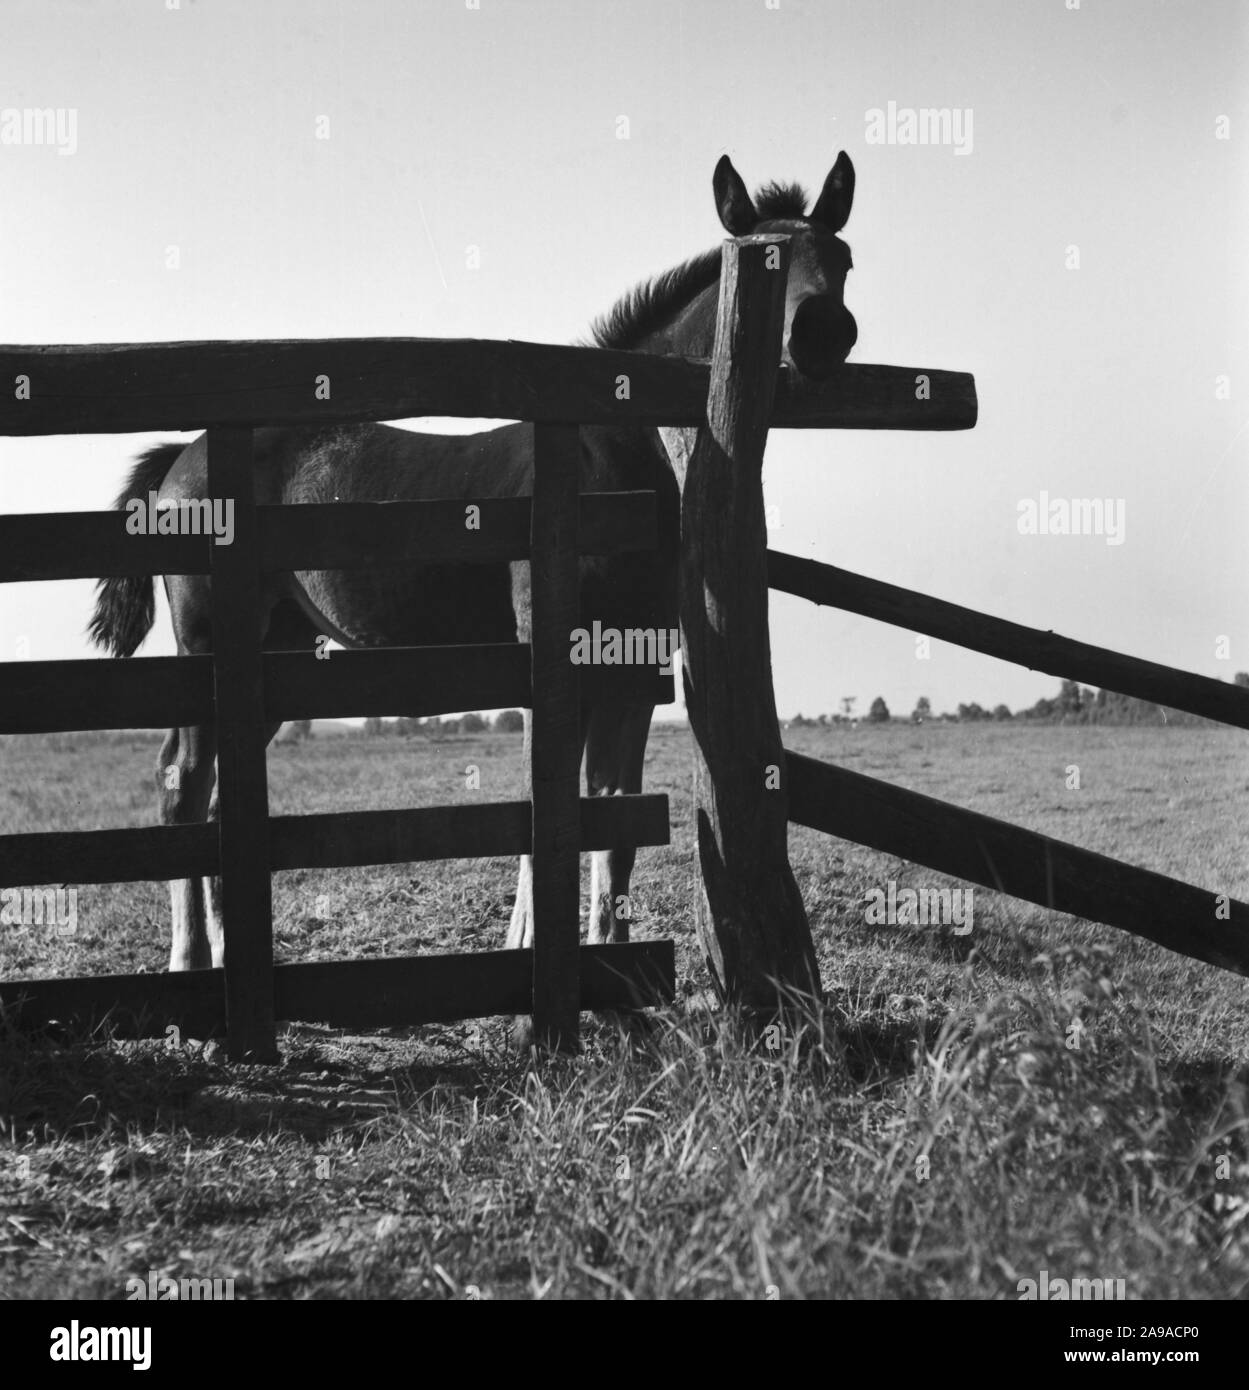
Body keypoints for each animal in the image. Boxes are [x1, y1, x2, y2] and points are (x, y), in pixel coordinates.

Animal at [83, 149, 855, 978]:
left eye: (840, 257)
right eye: (766, 259)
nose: (823, 334)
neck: (608, 458)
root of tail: (177, 459)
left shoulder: (633, 671)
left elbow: (614, 814)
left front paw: (612, 960)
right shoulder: (552, 660)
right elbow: (554, 803)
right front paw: (531, 944)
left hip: (277, 647)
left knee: (217, 791)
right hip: (207, 639)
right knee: (182, 782)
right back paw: (191, 957)